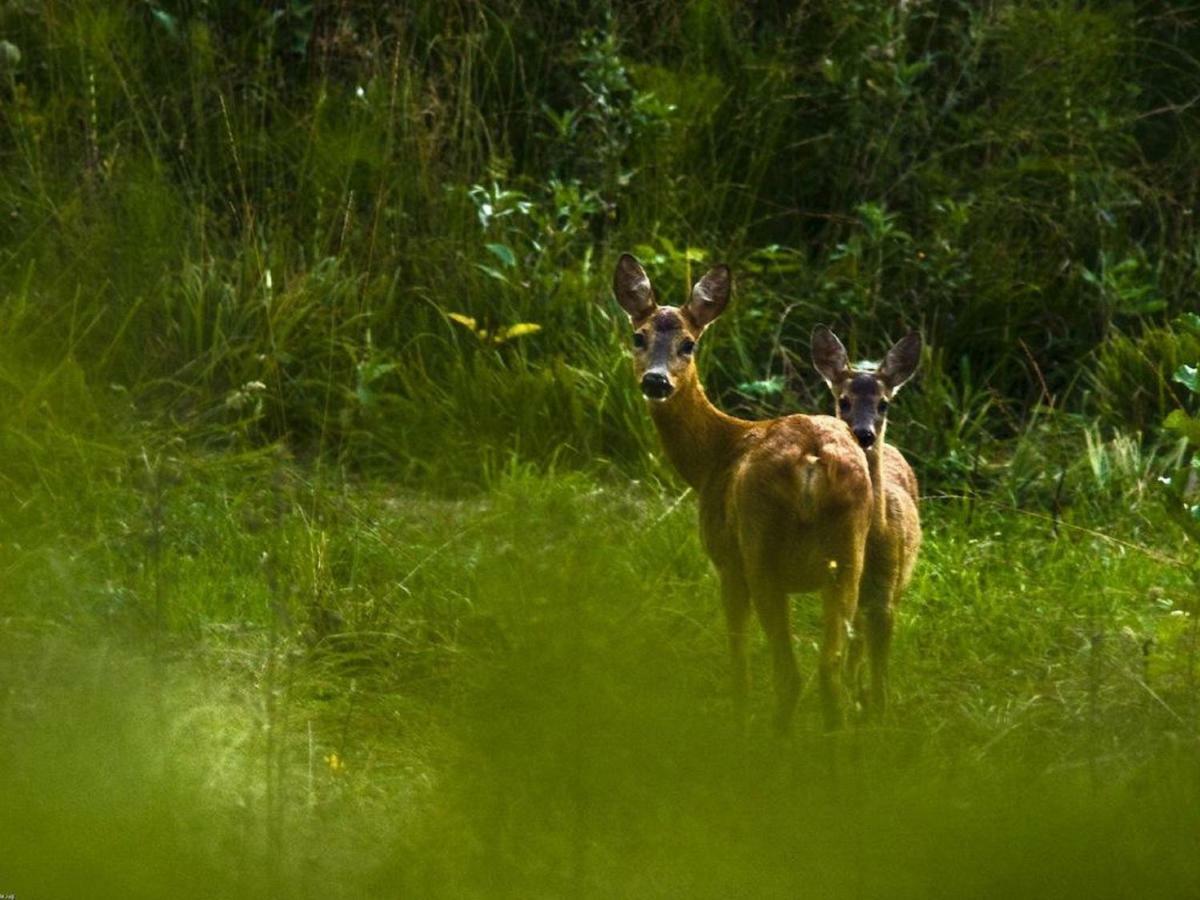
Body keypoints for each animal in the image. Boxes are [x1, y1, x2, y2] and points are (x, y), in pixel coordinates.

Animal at [609, 254, 873, 734]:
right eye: (639, 336)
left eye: (689, 344)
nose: (656, 381)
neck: (715, 453)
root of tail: (812, 462)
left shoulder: (726, 560)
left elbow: (738, 658)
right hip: (848, 556)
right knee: (829, 673)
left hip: (760, 547)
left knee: (790, 674)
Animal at [811, 328, 921, 724]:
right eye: (843, 401)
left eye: (883, 404)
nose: (864, 433)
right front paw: (849, 702)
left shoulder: (887, 591)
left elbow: (879, 665)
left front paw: (878, 710)